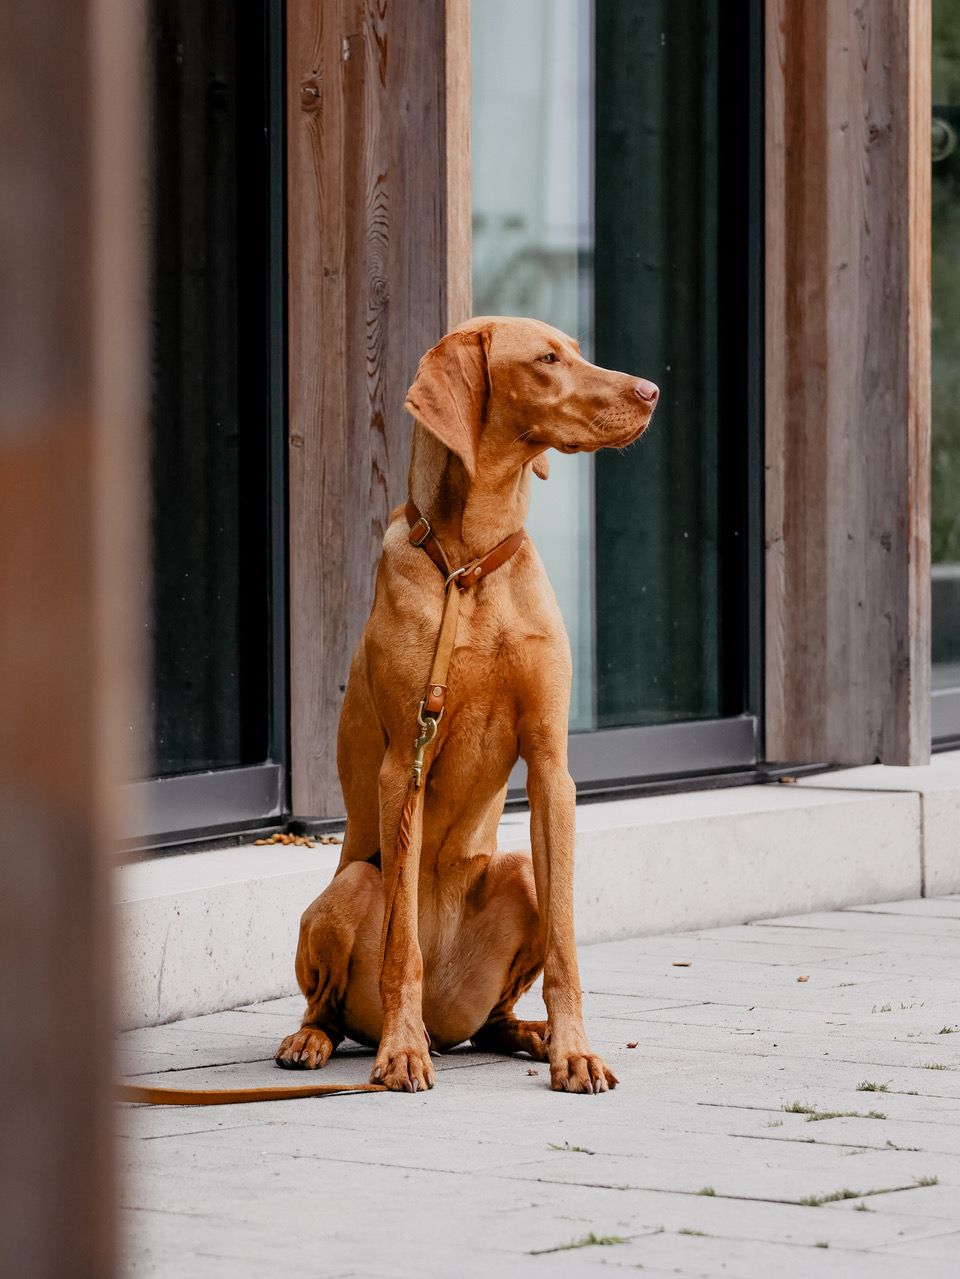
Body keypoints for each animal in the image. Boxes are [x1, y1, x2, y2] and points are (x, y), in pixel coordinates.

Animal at [273, 317, 659, 1089]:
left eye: (575, 350)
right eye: (546, 359)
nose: (652, 391)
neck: (472, 563)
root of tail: (449, 1020)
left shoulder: (551, 767)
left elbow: (568, 946)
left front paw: (575, 1048)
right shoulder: (404, 768)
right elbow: (402, 950)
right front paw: (400, 1052)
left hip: (520, 879)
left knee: (494, 1019)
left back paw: (532, 1033)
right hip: (352, 886)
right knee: (333, 1003)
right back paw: (328, 1039)